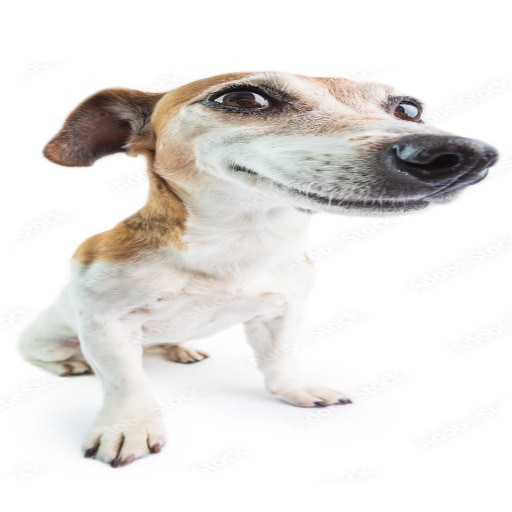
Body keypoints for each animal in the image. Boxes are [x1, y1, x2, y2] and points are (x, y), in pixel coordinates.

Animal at [19, 71, 498, 467]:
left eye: (409, 109)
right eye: (244, 98)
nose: (465, 155)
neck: (240, 243)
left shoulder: (279, 313)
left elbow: (278, 360)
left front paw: (297, 389)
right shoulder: (106, 326)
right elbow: (126, 383)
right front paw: (127, 427)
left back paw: (179, 349)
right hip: (47, 339)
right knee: (48, 357)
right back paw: (70, 366)